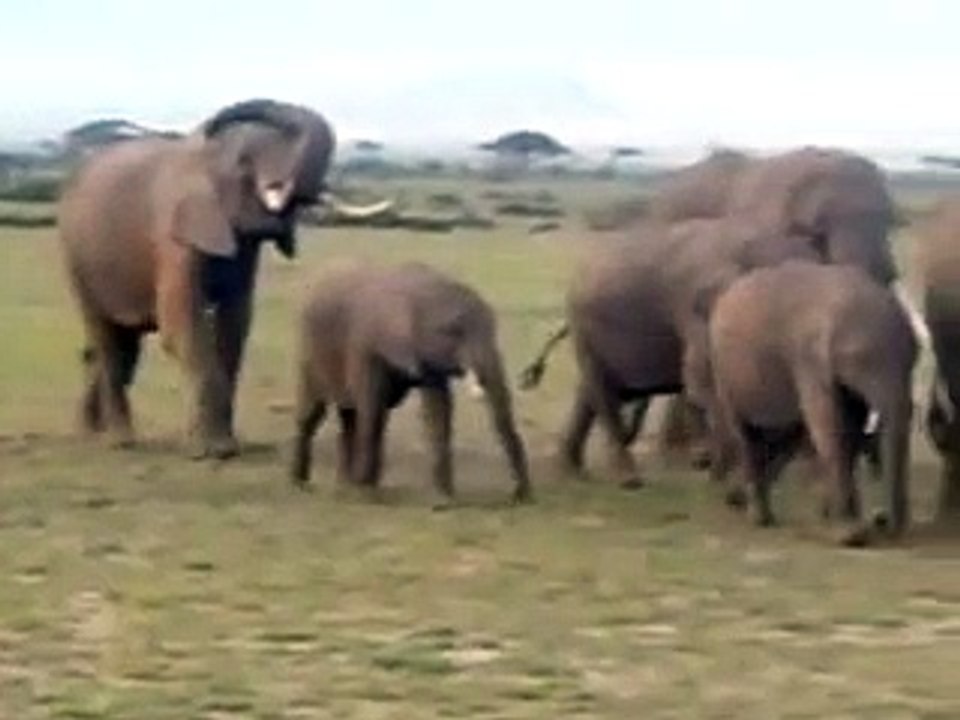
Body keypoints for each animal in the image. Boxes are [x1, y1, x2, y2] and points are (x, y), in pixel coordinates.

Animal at [58, 99, 386, 458]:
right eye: (245, 161)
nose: (214, 121)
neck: (209, 155)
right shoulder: (174, 233)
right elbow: (184, 325)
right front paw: (212, 451)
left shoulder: (243, 247)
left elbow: (235, 325)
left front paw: (226, 446)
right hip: (75, 256)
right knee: (106, 339)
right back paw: (120, 441)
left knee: (121, 343)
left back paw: (89, 434)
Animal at [290, 260, 532, 506]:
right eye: (454, 331)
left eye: (493, 327)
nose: (519, 496)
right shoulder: (365, 346)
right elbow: (372, 406)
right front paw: (366, 492)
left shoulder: (428, 358)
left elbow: (437, 409)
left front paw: (443, 498)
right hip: (309, 352)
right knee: (314, 413)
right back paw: (303, 484)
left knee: (350, 416)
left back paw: (344, 485)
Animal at [520, 217, 822, 487]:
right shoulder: (692, 308)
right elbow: (702, 381)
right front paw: (723, 475)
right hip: (583, 324)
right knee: (602, 391)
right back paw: (627, 478)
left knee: (591, 392)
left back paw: (572, 470)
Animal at [690, 260, 917, 545]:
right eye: (861, 360)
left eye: (914, 358)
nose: (882, 520)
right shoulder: (808, 361)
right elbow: (830, 427)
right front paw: (849, 534)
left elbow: (849, 428)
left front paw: (836, 518)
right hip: (724, 369)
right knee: (745, 434)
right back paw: (759, 516)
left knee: (789, 435)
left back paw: (742, 500)